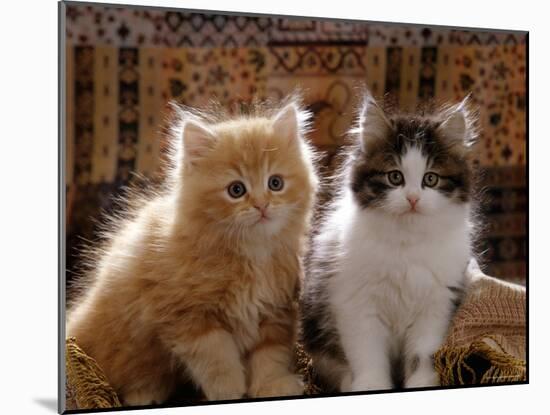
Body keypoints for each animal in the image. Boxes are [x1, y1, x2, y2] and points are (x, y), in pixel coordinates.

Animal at [68, 100, 320, 406]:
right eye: (236, 190)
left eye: (275, 183)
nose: (262, 206)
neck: (251, 253)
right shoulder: (189, 317)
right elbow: (218, 361)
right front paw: (229, 393)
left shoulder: (275, 310)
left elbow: (269, 355)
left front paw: (272, 385)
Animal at [302, 93, 478, 394]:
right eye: (395, 177)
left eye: (431, 179)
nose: (413, 198)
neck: (406, 241)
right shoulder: (357, 305)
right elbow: (367, 355)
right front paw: (369, 385)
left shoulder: (436, 306)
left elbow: (422, 356)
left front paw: (422, 384)